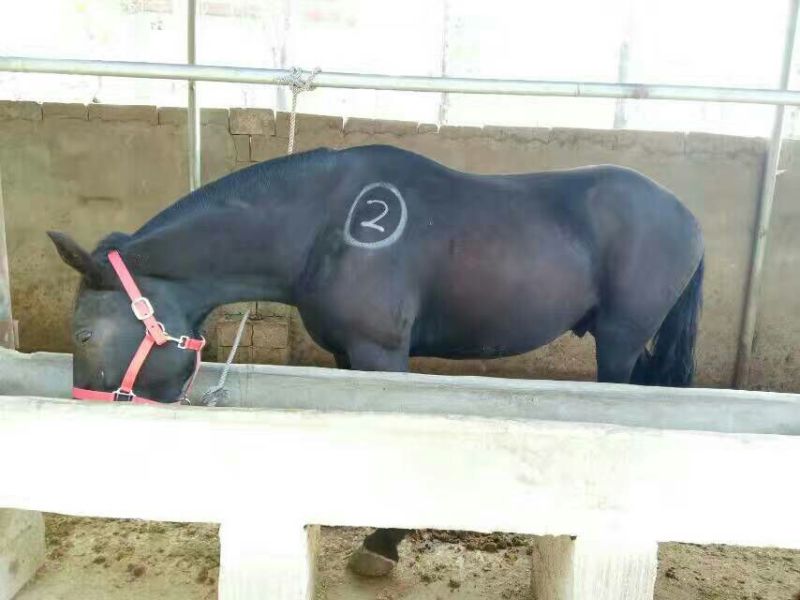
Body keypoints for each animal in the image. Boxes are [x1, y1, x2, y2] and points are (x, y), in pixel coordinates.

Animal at [48, 143, 704, 577]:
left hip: (619, 340)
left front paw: (382, 546)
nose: (83, 407)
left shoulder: (380, 351)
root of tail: (686, 214)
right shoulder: (348, 353)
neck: (321, 230)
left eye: (84, 332)